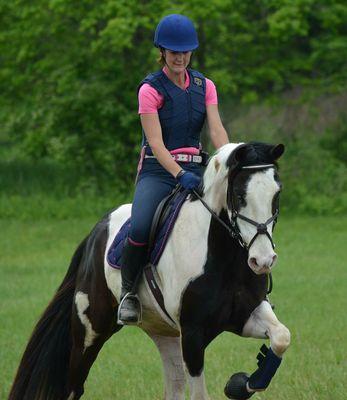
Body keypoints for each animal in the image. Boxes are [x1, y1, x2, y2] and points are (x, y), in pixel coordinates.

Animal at [8, 142, 290, 398]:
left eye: (277, 195)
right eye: (240, 196)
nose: (263, 260)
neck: (221, 255)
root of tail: (95, 232)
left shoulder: (245, 314)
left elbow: (281, 337)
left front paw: (240, 384)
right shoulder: (193, 334)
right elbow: (200, 394)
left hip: (164, 333)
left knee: (173, 387)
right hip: (90, 331)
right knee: (73, 386)